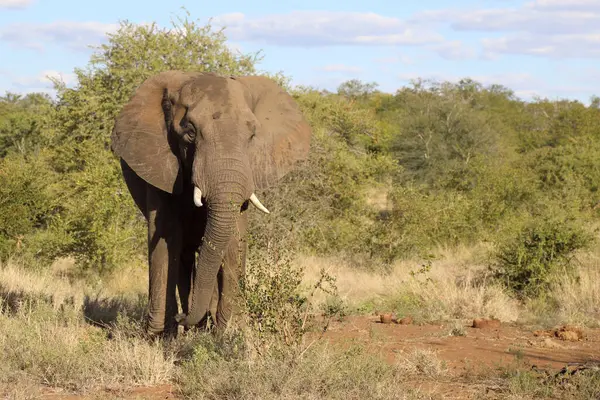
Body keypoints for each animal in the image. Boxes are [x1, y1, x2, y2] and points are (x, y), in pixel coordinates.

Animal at [109, 70, 312, 336]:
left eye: (252, 136)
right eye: (190, 133)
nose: (182, 318)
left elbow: (234, 239)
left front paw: (231, 332)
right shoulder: (159, 165)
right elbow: (166, 235)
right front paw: (159, 336)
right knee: (183, 255)